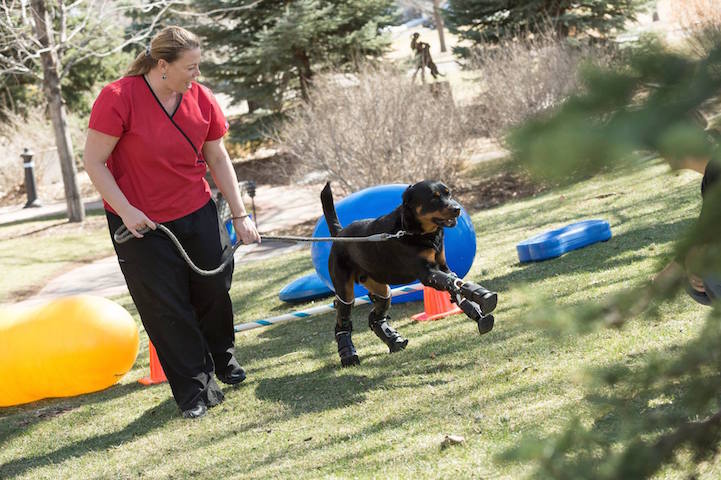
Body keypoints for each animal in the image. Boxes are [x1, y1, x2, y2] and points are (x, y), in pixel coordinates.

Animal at [320, 181, 496, 368]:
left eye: (449, 193)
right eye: (434, 197)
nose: (457, 209)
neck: (414, 231)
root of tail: (339, 234)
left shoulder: (443, 266)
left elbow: (454, 282)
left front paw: (476, 308)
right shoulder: (427, 273)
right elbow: (451, 282)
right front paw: (482, 297)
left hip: (378, 284)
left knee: (378, 310)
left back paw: (394, 341)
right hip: (344, 287)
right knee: (343, 315)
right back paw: (348, 355)